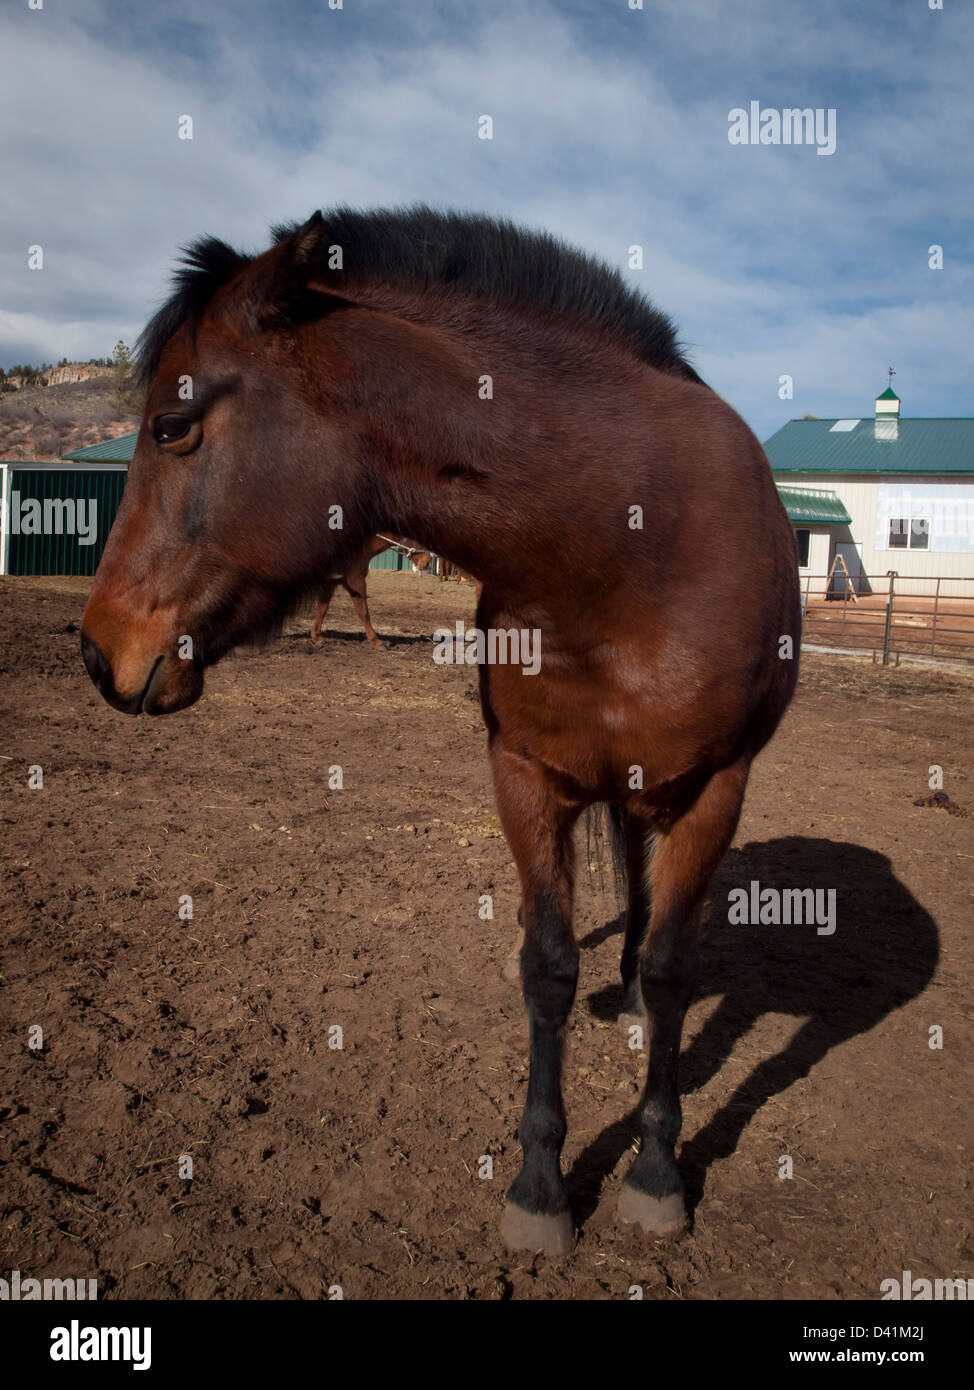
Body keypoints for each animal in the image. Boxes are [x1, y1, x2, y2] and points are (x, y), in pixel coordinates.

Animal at [80, 206, 800, 1255]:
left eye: (171, 426)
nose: (99, 653)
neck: (631, 546)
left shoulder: (715, 788)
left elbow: (673, 971)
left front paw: (657, 1171)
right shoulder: (525, 778)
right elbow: (546, 967)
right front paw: (540, 1186)